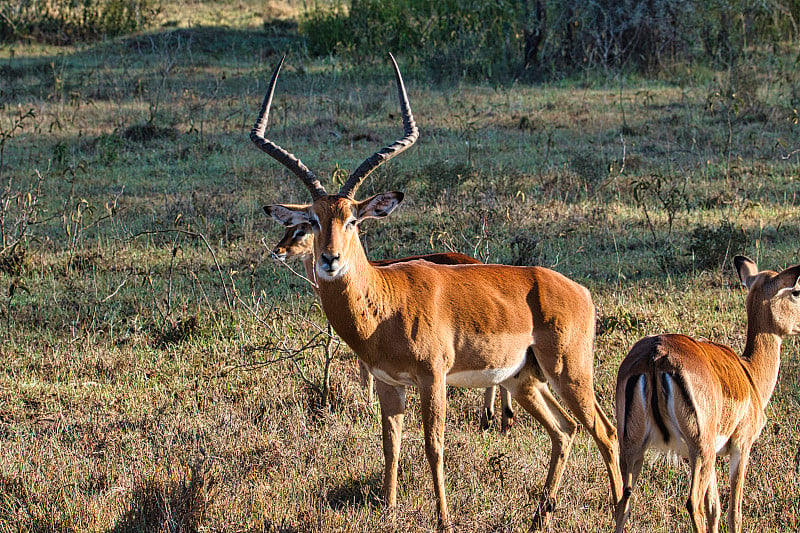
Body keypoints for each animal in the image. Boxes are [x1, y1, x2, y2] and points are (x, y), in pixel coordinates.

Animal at [272, 221, 516, 432]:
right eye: (287, 228)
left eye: (301, 231)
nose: (278, 251)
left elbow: (365, 371)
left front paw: (368, 404)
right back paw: (498, 422)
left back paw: (495, 421)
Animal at [616, 256, 796, 532]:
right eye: (796, 291)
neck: (750, 373)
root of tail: (656, 356)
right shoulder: (741, 446)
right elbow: (733, 511)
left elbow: (715, 509)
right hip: (699, 449)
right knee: (693, 502)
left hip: (634, 447)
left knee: (622, 503)